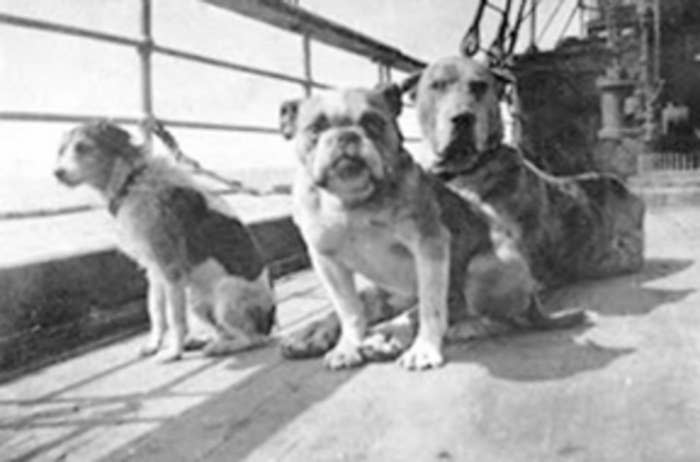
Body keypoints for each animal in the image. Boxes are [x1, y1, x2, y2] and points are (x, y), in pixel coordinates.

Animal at [278, 85, 584, 370]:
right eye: (316, 128)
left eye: (373, 123)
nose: (346, 136)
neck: (353, 200)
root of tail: (534, 301)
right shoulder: (327, 262)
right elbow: (349, 309)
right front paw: (348, 346)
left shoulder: (430, 247)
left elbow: (430, 307)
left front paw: (423, 349)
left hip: (483, 268)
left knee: (505, 320)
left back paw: (466, 327)